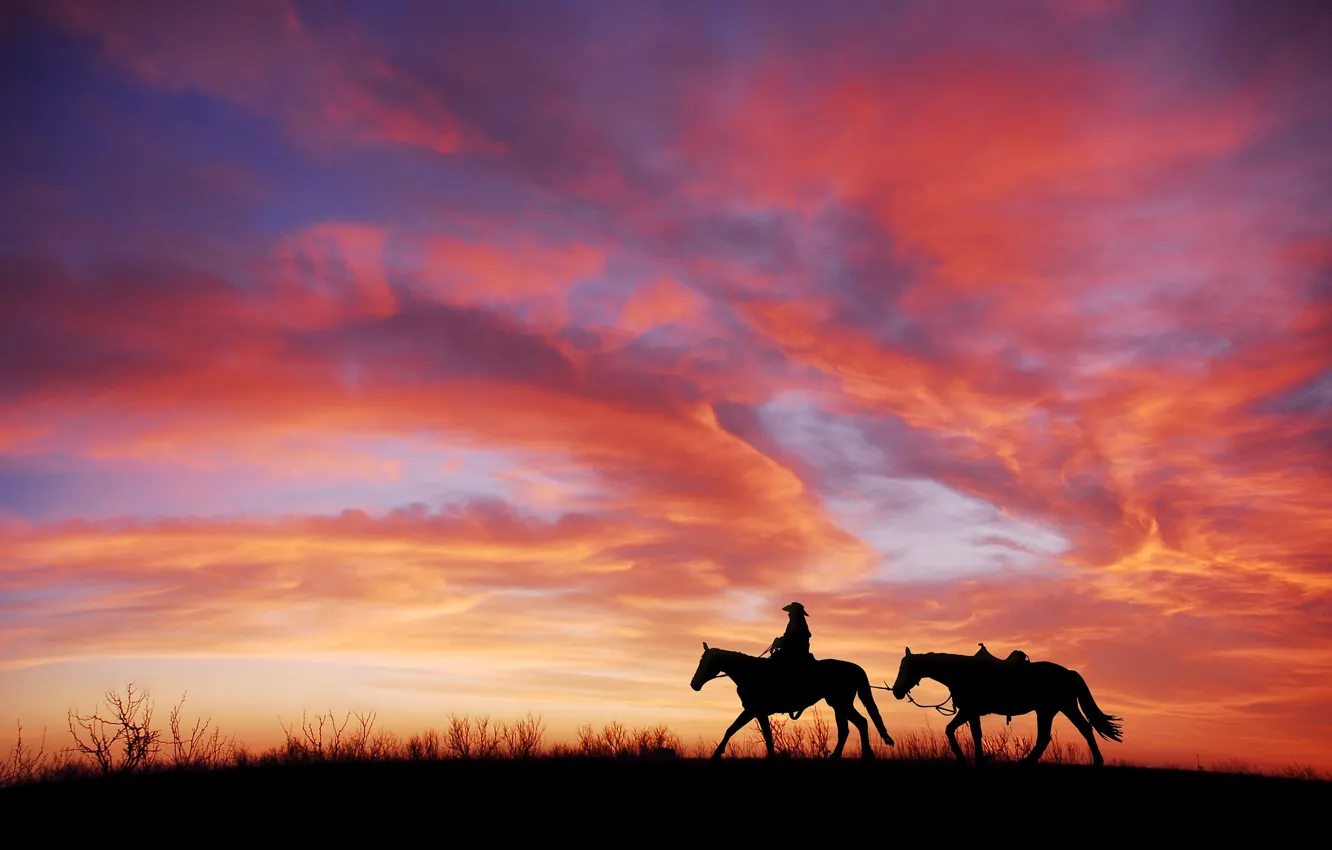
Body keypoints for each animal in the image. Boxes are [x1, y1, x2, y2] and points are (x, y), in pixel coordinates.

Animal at [691, 642, 895, 759]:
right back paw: (835, 758)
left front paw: (716, 754)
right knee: (847, 729)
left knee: (861, 722)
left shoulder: (753, 710)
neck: (750, 673)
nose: (694, 684)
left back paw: (867, 755)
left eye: (705, 661)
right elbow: (760, 734)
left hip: (841, 704)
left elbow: (733, 730)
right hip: (838, 705)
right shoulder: (757, 712)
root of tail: (855, 668)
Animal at [889, 646, 1123, 766]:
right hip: (1055, 709)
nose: (896, 691)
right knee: (1064, 733)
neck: (962, 672)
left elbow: (954, 731)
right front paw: (977, 760)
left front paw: (965, 758)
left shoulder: (968, 711)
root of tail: (1069, 673)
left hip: (1054, 709)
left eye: (906, 667)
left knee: (1068, 732)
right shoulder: (971, 712)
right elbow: (972, 734)